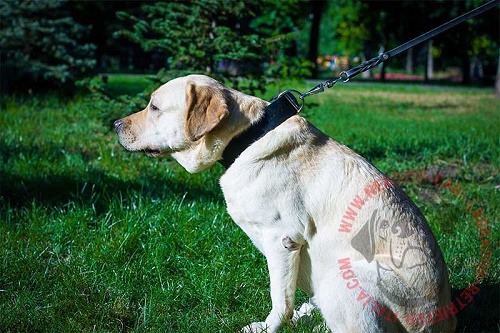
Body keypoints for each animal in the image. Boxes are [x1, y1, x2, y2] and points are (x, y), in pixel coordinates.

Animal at [114, 75, 458, 332]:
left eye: (154, 107)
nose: (115, 124)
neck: (247, 137)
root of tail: (441, 322)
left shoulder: (283, 238)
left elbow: (280, 299)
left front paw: (270, 327)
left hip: (345, 275)